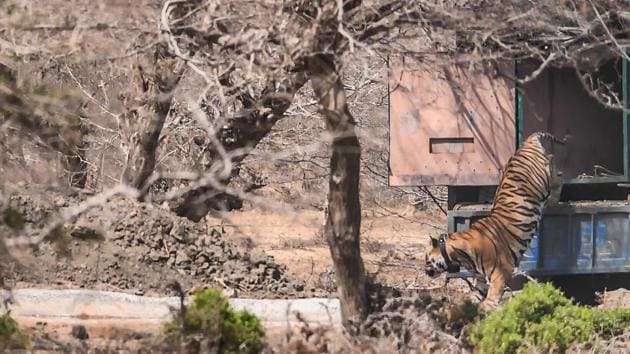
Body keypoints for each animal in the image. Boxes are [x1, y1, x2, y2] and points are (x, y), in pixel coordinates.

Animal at [428, 131, 572, 308]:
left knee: (557, 174)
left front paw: (487, 306)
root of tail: (525, 144)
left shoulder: (500, 272)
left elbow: (492, 295)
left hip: (543, 179)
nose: (425, 271)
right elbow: (478, 291)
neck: (460, 257)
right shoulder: (481, 278)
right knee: (555, 166)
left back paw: (553, 200)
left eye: (427, 259)